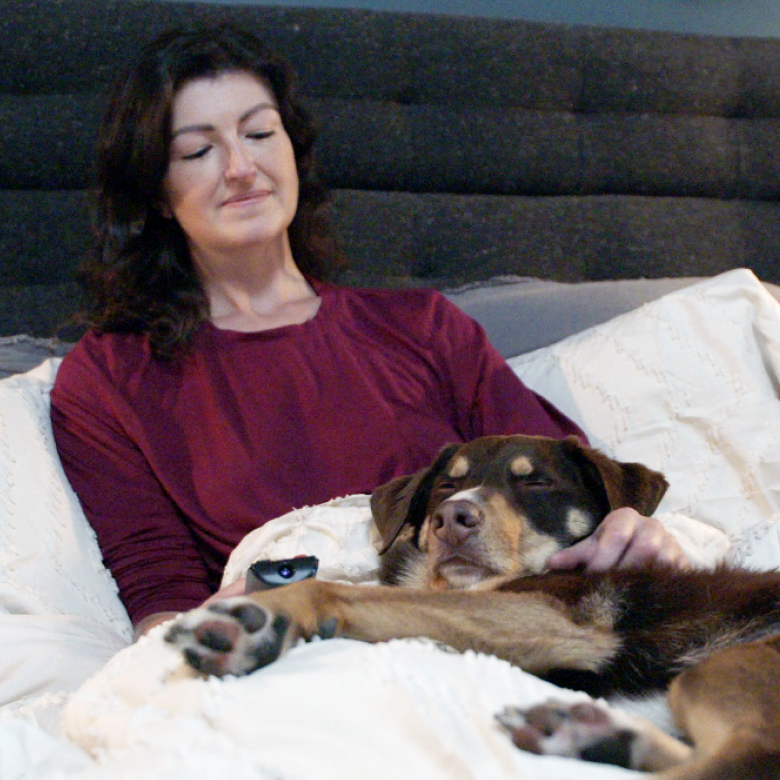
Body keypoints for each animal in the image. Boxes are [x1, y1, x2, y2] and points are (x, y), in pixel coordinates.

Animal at [163, 436, 780, 780]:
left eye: (537, 484)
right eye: (444, 487)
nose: (452, 519)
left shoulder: (562, 618)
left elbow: (350, 592)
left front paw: (262, 617)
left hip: (722, 667)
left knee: (748, 755)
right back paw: (586, 735)